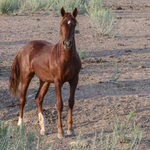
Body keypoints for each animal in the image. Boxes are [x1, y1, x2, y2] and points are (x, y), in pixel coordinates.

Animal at [8, 7, 81, 138]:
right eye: (62, 24)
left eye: (74, 24)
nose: (67, 44)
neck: (66, 58)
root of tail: (24, 48)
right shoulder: (58, 81)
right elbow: (59, 104)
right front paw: (60, 131)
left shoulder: (74, 80)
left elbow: (71, 102)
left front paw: (70, 129)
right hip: (26, 77)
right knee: (22, 99)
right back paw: (20, 125)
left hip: (45, 81)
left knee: (38, 99)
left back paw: (43, 128)